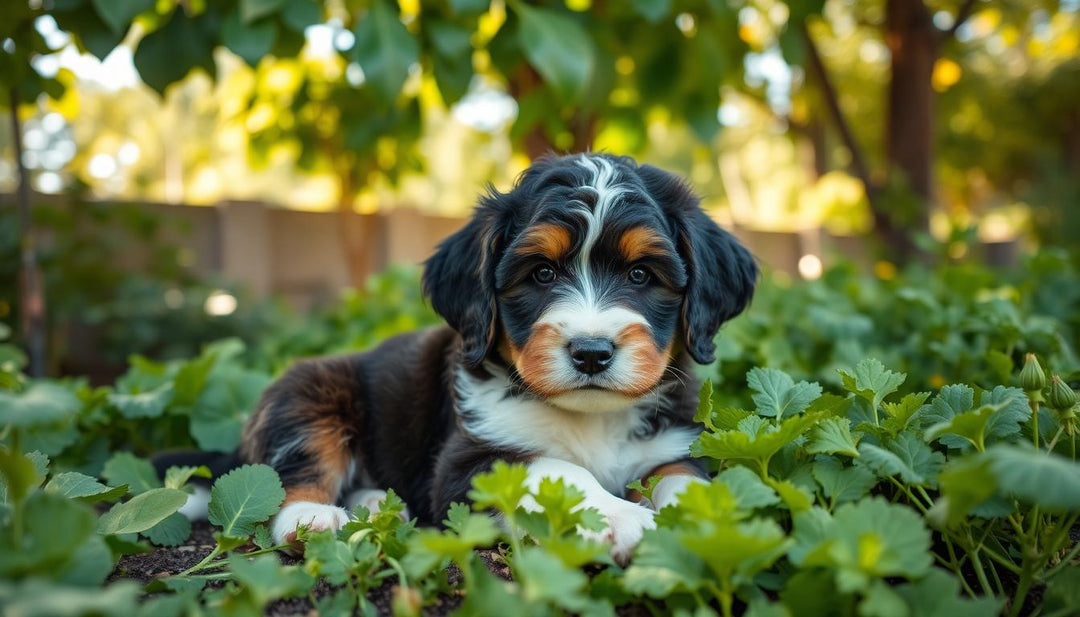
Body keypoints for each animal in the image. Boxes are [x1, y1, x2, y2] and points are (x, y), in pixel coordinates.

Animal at [237, 152, 760, 561]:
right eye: (542, 273)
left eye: (640, 275)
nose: (591, 353)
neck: (591, 420)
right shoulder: (466, 462)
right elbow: (557, 470)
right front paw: (621, 518)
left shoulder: (672, 444)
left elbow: (684, 479)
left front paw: (708, 518)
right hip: (308, 392)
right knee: (291, 473)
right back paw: (315, 518)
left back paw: (373, 504)